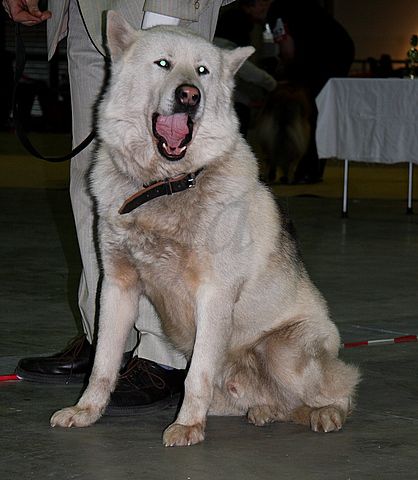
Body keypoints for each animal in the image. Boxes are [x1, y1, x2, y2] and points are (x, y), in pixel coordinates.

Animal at [51, 11, 360, 446]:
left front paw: (186, 427)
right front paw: (86, 411)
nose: (189, 95)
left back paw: (326, 413)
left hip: (284, 352)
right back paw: (264, 411)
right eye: (163, 63)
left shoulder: (213, 295)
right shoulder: (116, 287)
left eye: (202, 71)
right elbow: (102, 365)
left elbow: (196, 375)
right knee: (278, 406)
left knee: (339, 391)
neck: (166, 183)